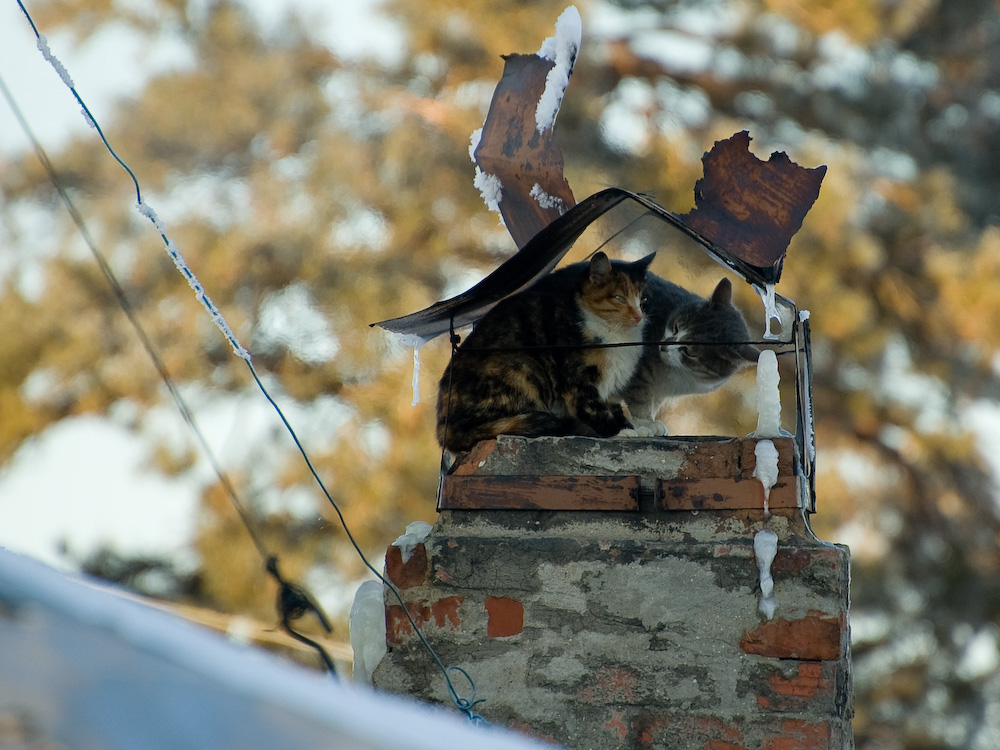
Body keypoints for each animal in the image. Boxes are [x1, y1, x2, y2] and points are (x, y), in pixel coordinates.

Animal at [434, 251, 652, 452]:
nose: (638, 316)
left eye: (643, 299)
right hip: (522, 368)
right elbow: (594, 410)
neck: (619, 337)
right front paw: (620, 432)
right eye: (619, 298)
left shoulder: (612, 388)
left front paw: (632, 428)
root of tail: (444, 430)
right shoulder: (578, 384)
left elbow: (615, 409)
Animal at [616, 274, 756, 434]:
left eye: (689, 352)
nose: (663, 346)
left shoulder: (658, 392)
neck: (682, 373)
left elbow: (652, 401)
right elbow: (639, 397)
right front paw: (645, 422)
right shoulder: (637, 372)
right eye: (676, 327)